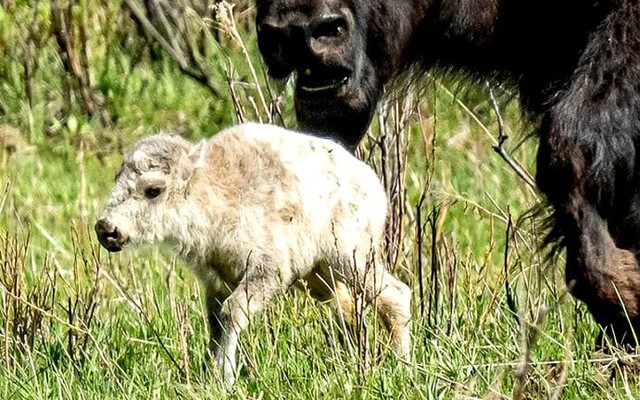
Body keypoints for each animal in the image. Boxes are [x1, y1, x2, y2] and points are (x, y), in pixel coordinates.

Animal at [97, 123, 412, 382]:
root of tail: (372, 184)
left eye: (153, 190)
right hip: (320, 276)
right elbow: (215, 324)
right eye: (116, 178)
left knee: (395, 295)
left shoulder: (267, 271)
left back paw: (402, 365)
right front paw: (209, 373)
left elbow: (231, 314)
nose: (106, 228)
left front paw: (225, 377)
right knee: (348, 310)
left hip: (351, 258)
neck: (214, 191)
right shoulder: (216, 282)